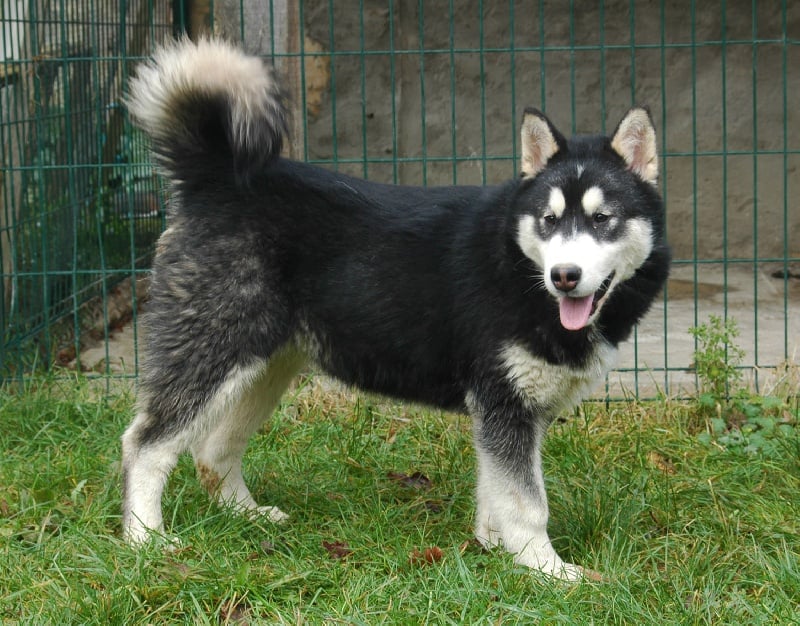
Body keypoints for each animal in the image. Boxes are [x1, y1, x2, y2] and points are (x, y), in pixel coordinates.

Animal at [122, 38, 670, 581]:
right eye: (549, 220)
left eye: (602, 219)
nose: (564, 276)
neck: (521, 270)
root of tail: (214, 178)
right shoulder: (504, 402)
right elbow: (526, 501)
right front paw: (546, 568)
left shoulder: (509, 412)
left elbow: (496, 489)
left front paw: (495, 548)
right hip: (212, 352)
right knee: (147, 443)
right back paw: (145, 538)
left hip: (264, 367)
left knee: (213, 448)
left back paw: (245, 514)